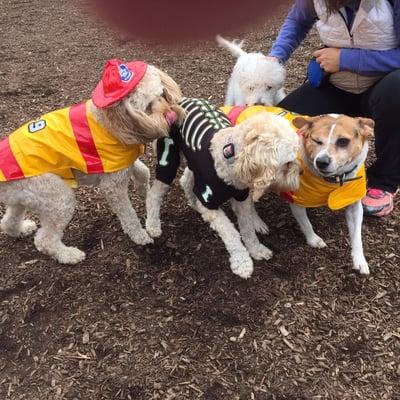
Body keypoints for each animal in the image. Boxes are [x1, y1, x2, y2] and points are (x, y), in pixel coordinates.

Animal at [0, 59, 184, 264]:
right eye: (148, 106)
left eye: (163, 94)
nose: (171, 116)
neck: (112, 122)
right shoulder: (113, 185)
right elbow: (128, 215)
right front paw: (140, 235)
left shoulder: (122, 164)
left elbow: (143, 172)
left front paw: (144, 193)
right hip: (55, 196)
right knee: (45, 240)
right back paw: (70, 255)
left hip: (22, 196)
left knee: (8, 221)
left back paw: (22, 229)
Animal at [145, 97, 300, 278]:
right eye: (288, 163)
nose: (301, 173)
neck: (229, 159)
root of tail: (179, 99)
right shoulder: (210, 202)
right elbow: (231, 233)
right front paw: (242, 262)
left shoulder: (241, 199)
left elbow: (247, 228)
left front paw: (256, 250)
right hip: (168, 159)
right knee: (154, 194)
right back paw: (153, 225)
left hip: (192, 163)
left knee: (186, 181)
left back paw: (195, 204)